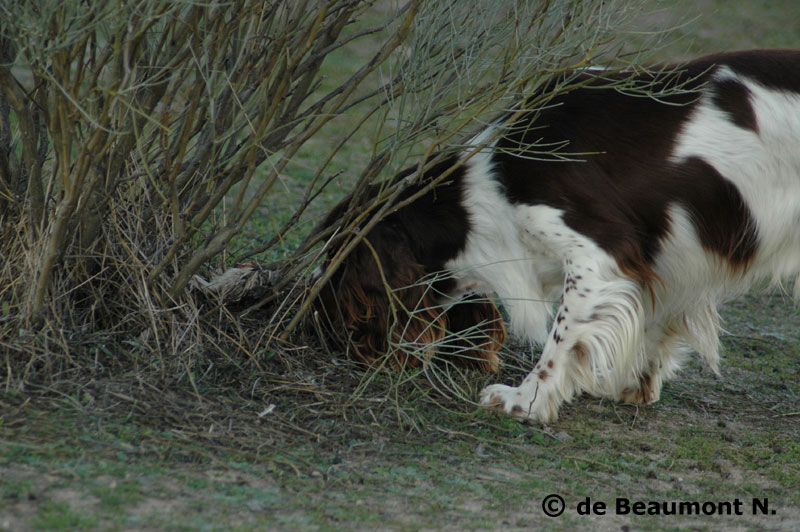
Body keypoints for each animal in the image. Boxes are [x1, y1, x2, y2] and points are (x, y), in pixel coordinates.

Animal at [314, 51, 800, 424]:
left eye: (335, 269)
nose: (319, 325)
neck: (483, 194)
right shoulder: (666, 257)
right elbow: (656, 321)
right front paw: (639, 384)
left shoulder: (598, 255)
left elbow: (562, 338)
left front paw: (526, 400)